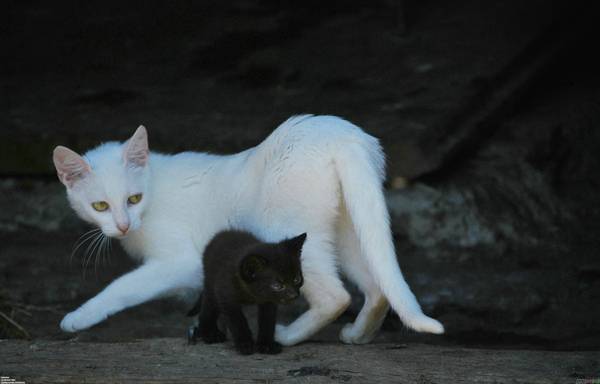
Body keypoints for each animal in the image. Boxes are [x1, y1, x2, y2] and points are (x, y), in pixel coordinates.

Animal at [54, 115, 442, 344]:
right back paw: (356, 335)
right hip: (349, 229)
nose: (122, 224)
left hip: (287, 232)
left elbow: (123, 287)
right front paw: (209, 331)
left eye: (133, 199)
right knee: (378, 289)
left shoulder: (183, 261)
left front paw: (78, 317)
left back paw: (285, 337)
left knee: (336, 296)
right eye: (100, 206)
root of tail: (340, 134)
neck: (153, 187)